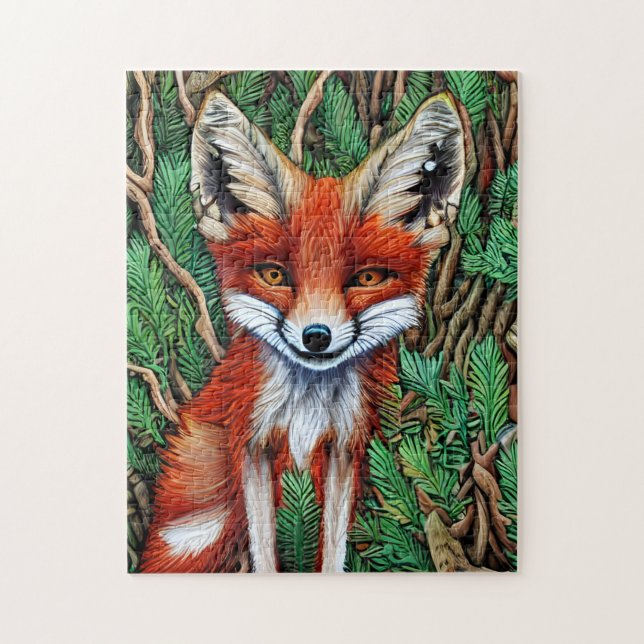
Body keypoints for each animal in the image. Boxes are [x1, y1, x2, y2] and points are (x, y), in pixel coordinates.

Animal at [140, 85, 465, 573]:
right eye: (275, 275)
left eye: (367, 278)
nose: (316, 336)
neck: (305, 411)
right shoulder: (251, 445)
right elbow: (264, 550)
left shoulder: (345, 450)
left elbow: (333, 548)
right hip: (200, 524)